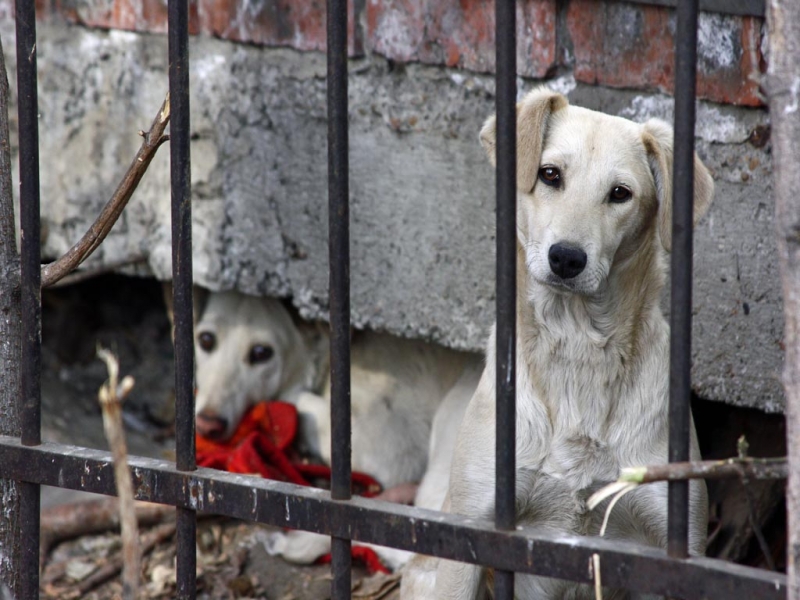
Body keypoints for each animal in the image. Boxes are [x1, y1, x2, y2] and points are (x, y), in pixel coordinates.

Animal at [404, 86, 708, 596]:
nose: (566, 257)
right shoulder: (472, 534)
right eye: (550, 174)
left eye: (620, 194)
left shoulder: (674, 545)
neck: (577, 348)